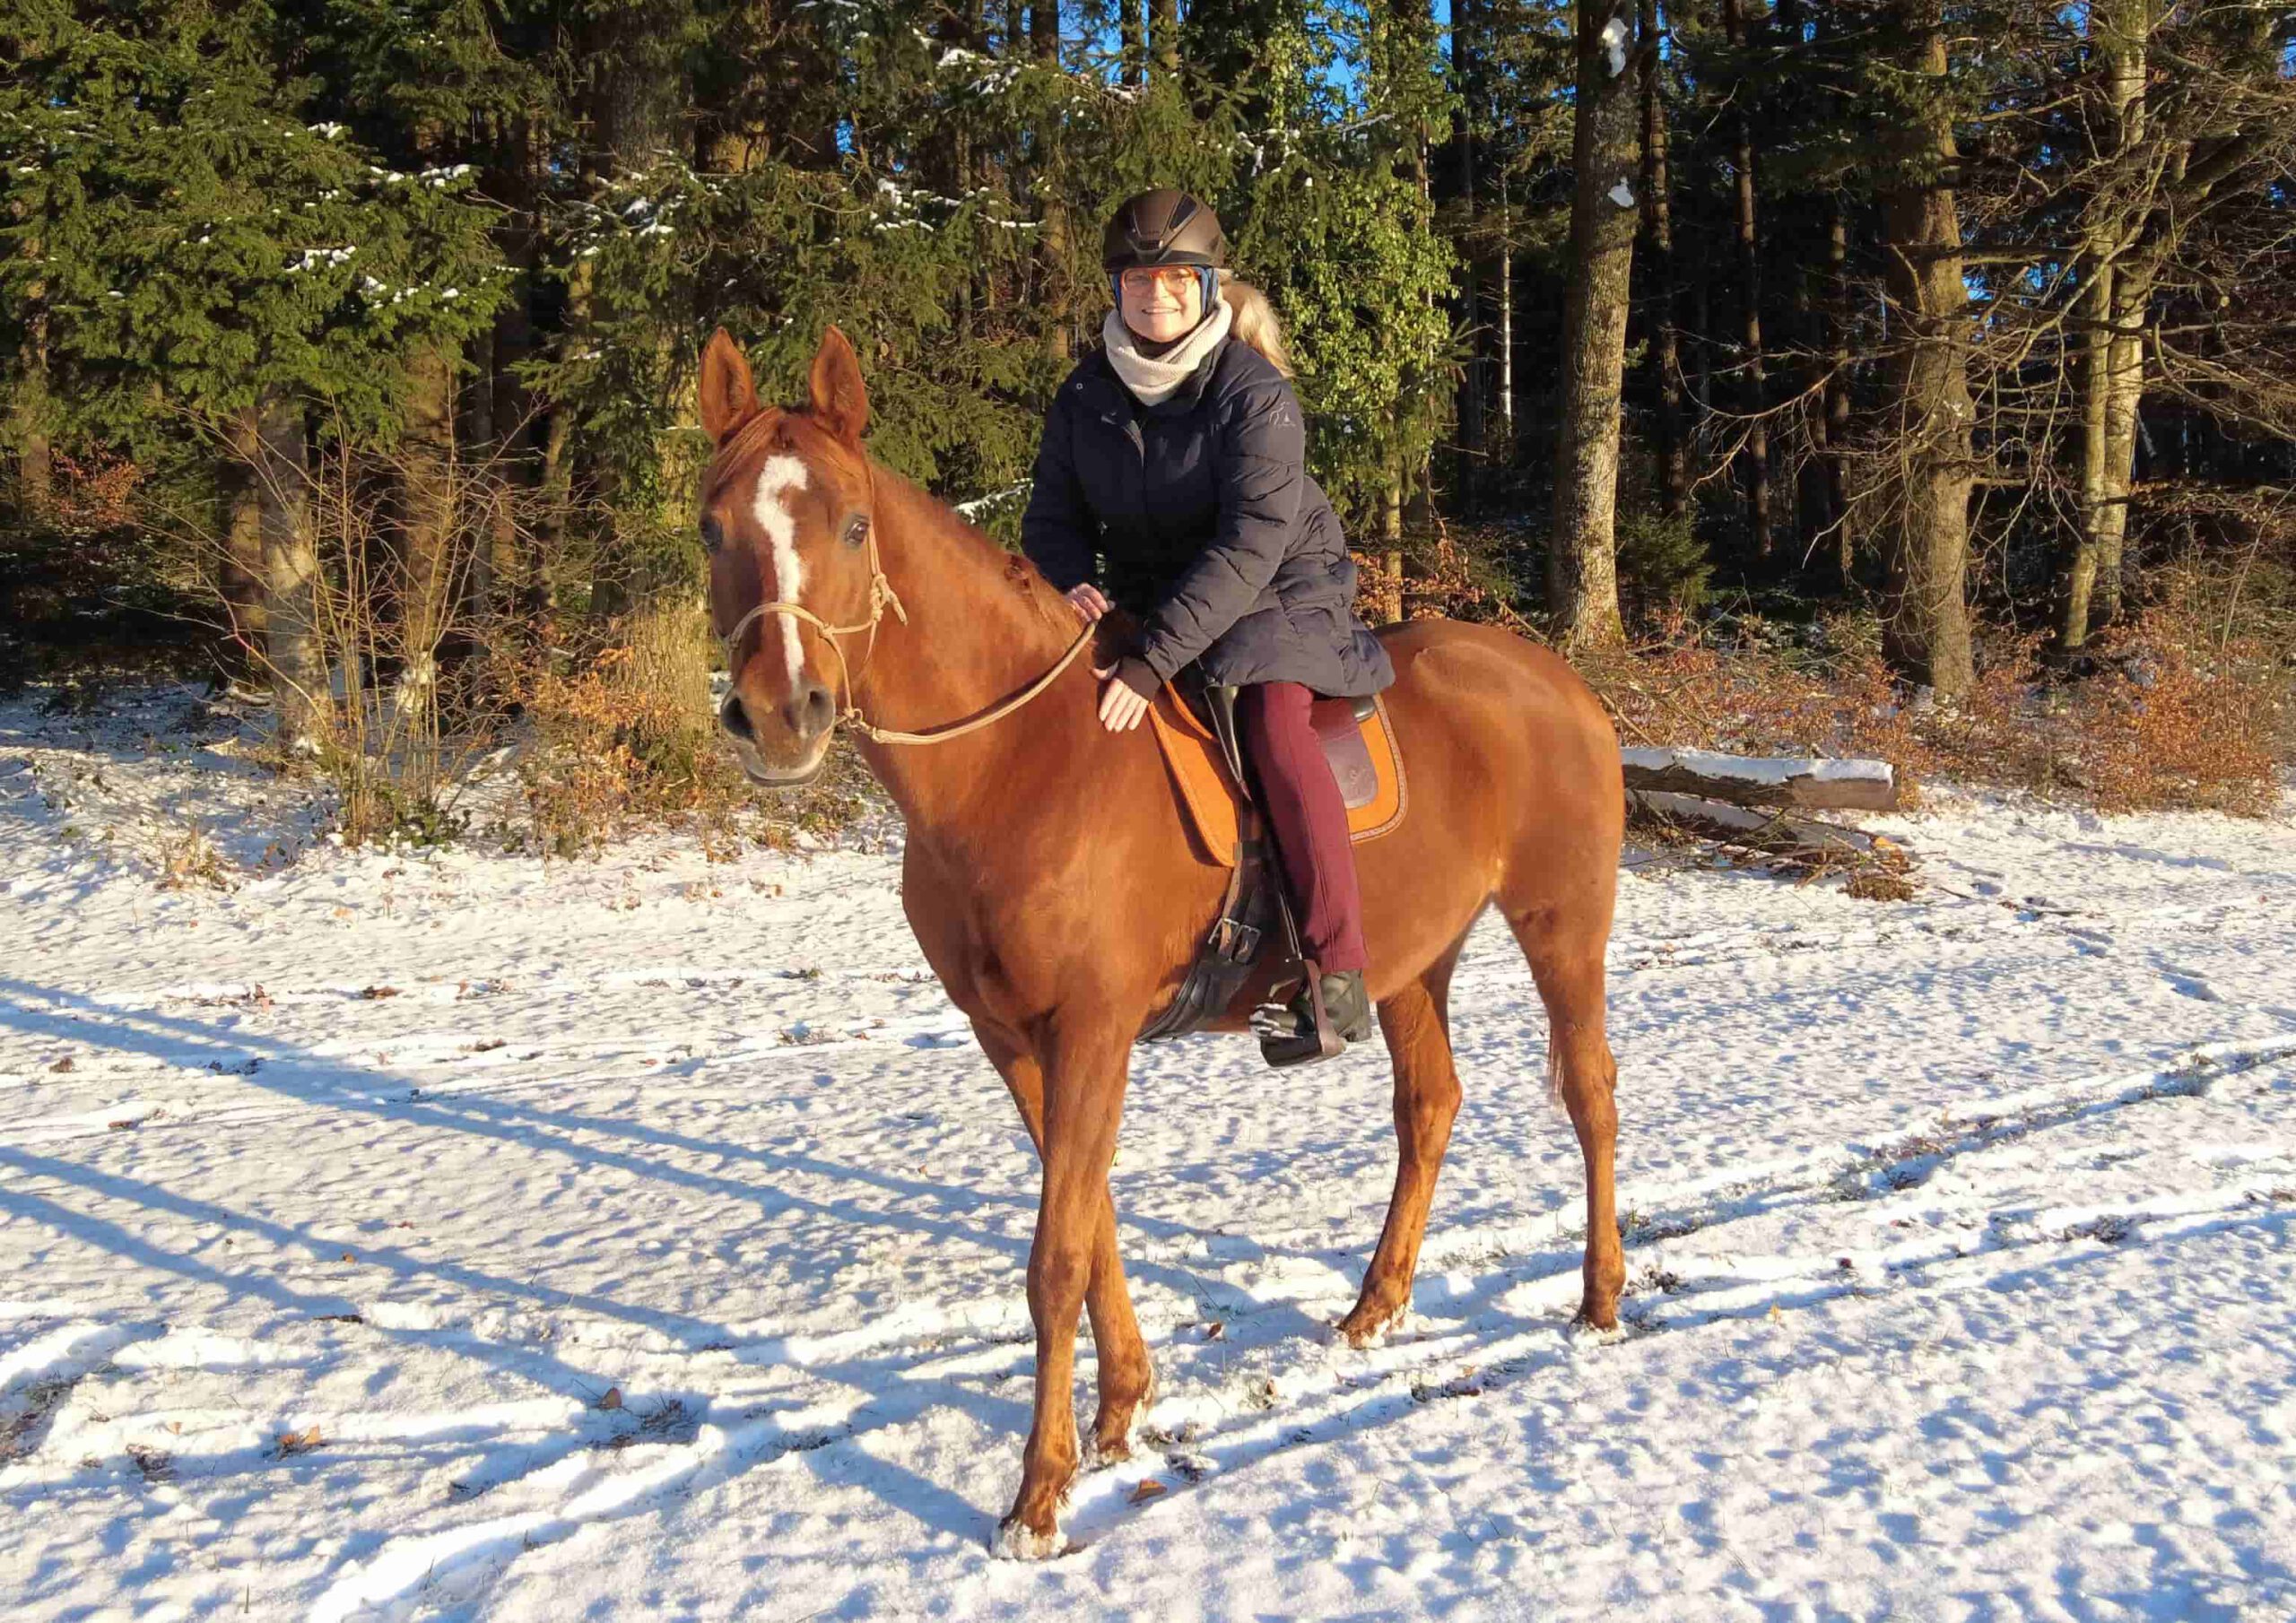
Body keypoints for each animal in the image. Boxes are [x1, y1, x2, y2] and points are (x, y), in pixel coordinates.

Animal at [692, 323, 1625, 1558]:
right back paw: (1373, 1308)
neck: (1019, 762)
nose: (777, 711)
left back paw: (1601, 1298)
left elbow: (1055, 1256)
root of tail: (1555, 679)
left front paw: (1037, 1499)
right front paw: (1121, 1407)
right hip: (1411, 960)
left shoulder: (1092, 1028)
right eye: (713, 526)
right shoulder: (1017, 1037)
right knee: (1429, 1107)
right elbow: (1089, 1225)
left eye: (850, 523)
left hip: (1563, 927)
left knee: (1590, 1095)